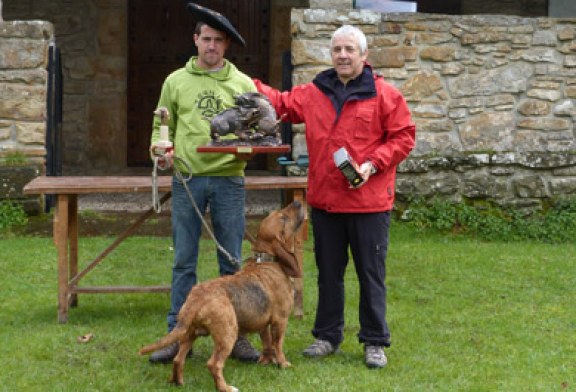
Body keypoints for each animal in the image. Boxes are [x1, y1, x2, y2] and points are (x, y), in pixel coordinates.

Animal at [139, 201, 306, 390]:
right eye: (283, 218)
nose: (297, 202)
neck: (267, 260)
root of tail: (197, 298)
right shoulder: (280, 320)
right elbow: (278, 345)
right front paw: (283, 364)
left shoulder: (263, 325)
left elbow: (267, 344)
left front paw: (265, 362)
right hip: (228, 334)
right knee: (214, 364)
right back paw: (226, 387)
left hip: (189, 334)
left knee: (178, 359)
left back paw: (178, 382)